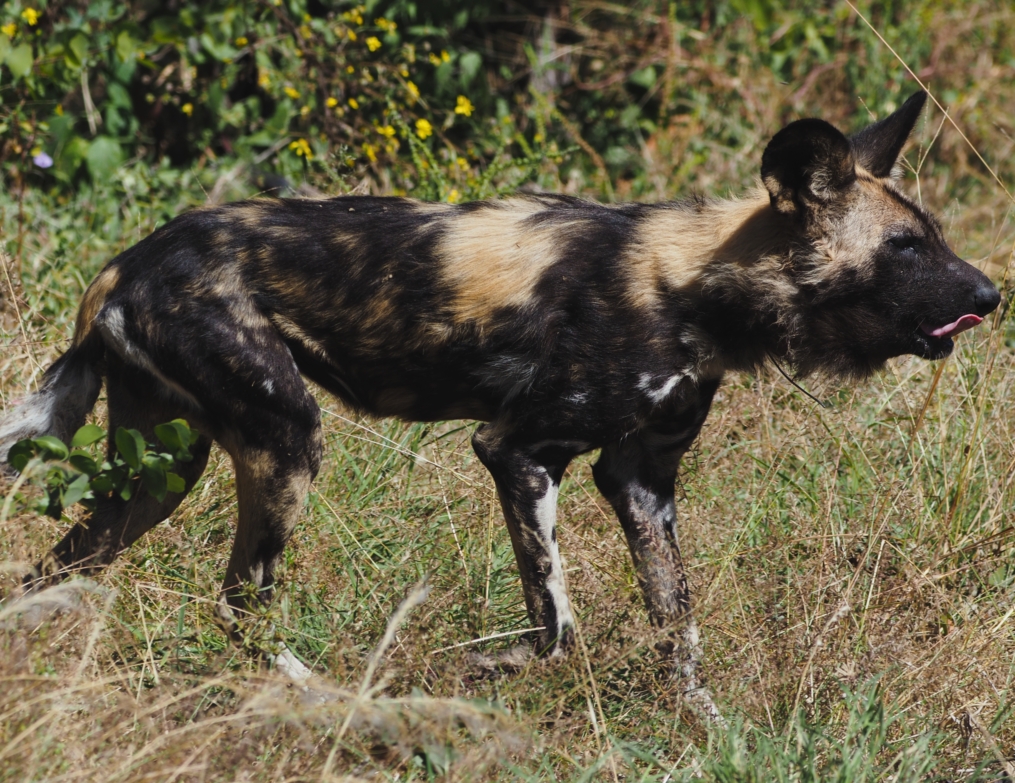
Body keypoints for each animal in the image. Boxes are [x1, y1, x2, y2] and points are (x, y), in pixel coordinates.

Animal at [0, 90, 998, 714]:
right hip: (285, 442)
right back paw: (317, 687)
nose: (992, 293)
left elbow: (677, 625)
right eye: (905, 247)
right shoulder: (517, 449)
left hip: (158, 473)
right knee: (239, 599)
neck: (692, 284)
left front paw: (707, 732)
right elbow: (557, 627)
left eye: (935, 236)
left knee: (56, 569)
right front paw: (485, 666)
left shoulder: (640, 481)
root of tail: (122, 264)